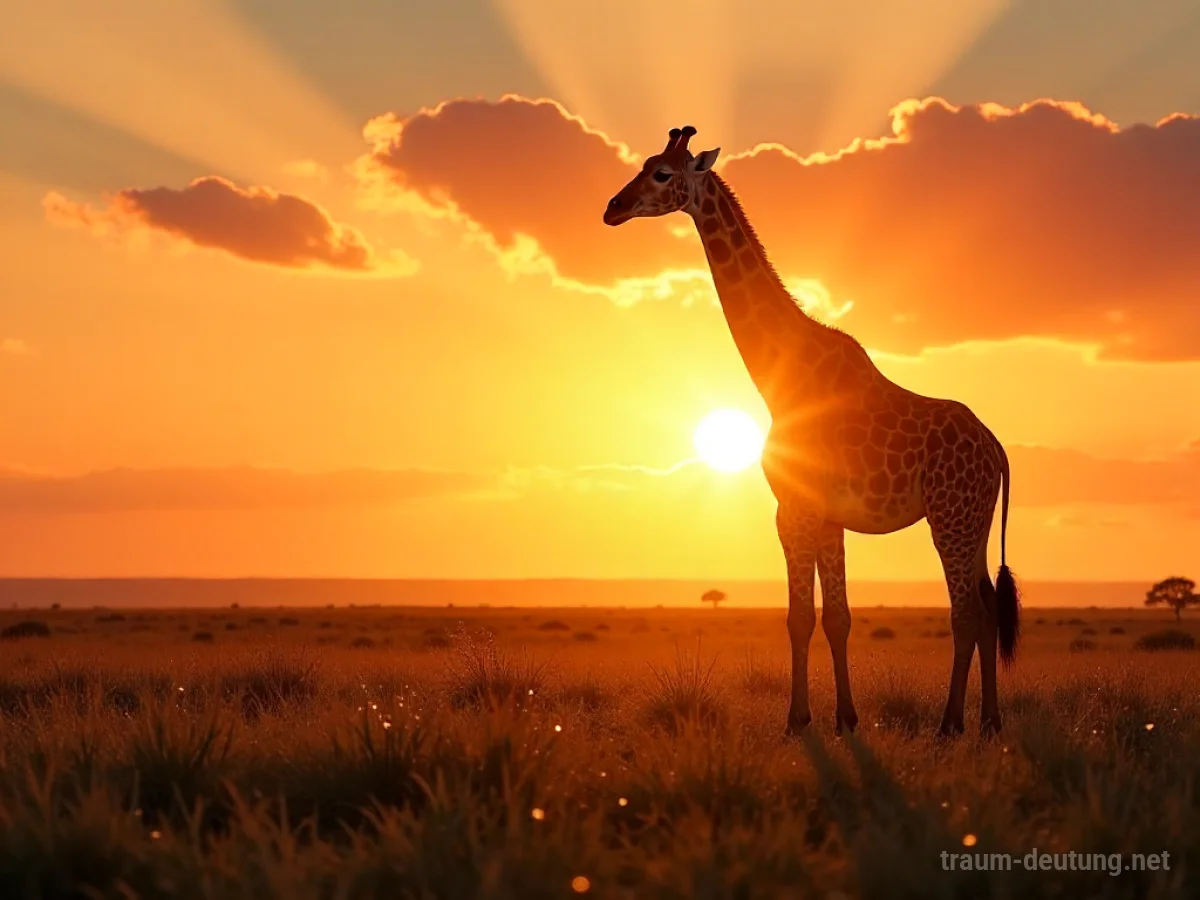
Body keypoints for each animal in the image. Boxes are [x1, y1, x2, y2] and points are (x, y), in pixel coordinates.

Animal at [603, 126, 1020, 737]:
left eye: (661, 173)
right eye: (642, 164)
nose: (612, 208)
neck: (779, 379)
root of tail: (998, 451)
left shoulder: (792, 507)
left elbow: (799, 617)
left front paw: (797, 719)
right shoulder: (828, 515)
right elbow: (837, 617)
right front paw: (845, 718)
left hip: (951, 516)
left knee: (966, 612)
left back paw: (950, 725)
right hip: (978, 518)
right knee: (989, 608)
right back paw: (990, 722)